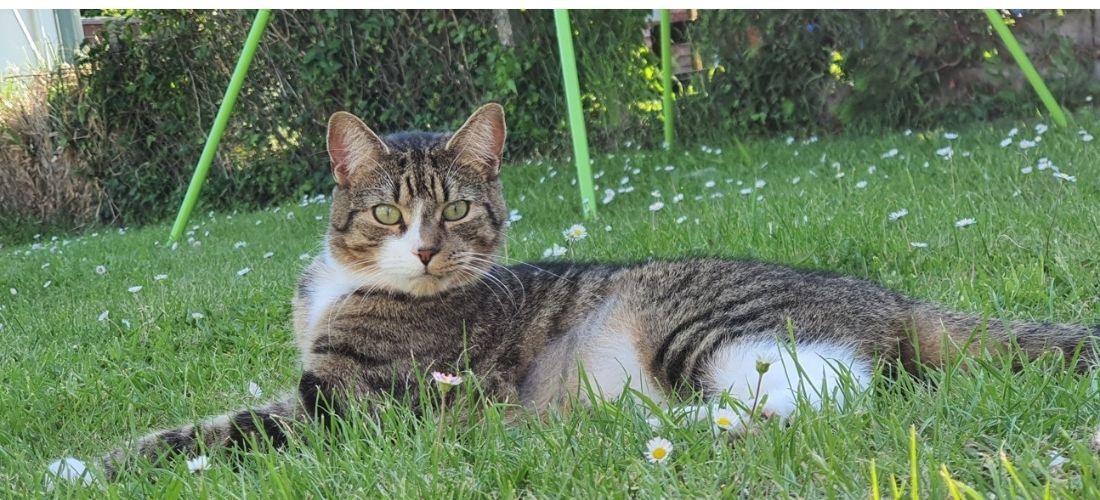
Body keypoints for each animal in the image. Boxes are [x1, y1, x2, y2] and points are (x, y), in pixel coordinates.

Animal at [90, 103, 1095, 479]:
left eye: (456, 209)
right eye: (386, 213)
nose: (424, 252)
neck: (347, 283)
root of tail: (891, 299)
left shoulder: (347, 406)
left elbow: (211, 431)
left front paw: (78, 469)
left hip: (704, 328)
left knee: (827, 394)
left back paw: (644, 431)